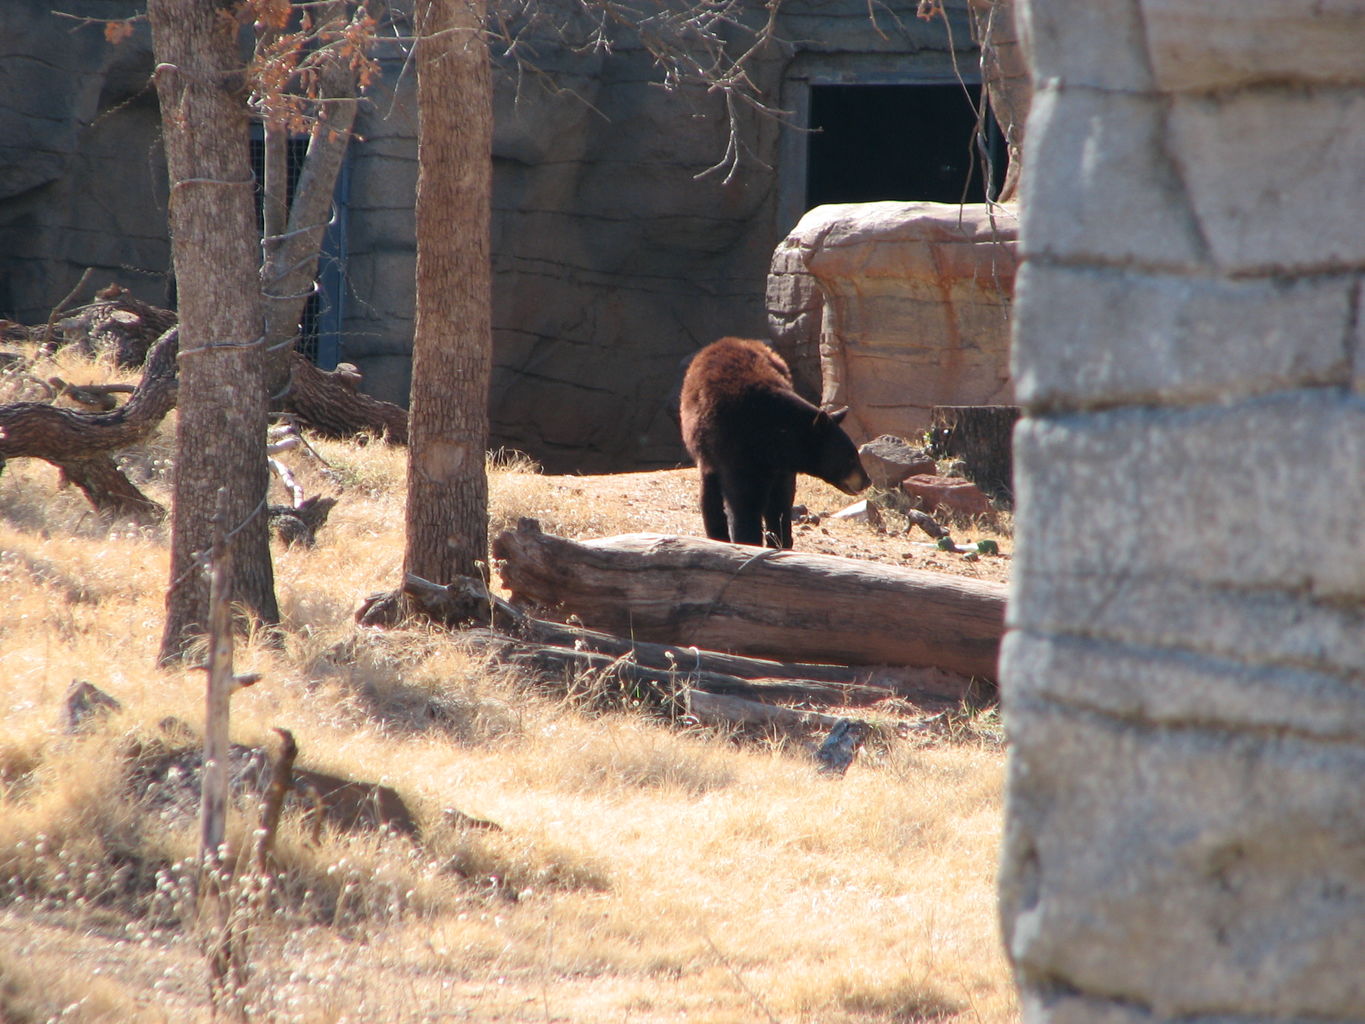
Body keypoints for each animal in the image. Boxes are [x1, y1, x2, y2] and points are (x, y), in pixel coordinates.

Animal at [679, 338, 868, 548]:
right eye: (851, 457)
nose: (867, 480)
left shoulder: (782, 466)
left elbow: (780, 501)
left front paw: (780, 540)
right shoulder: (734, 448)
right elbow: (745, 500)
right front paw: (748, 539)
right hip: (706, 451)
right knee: (710, 494)